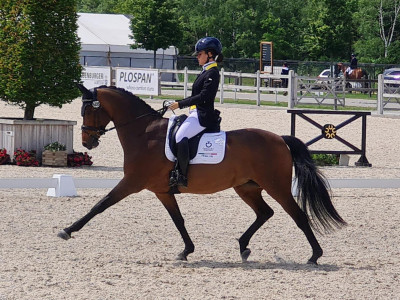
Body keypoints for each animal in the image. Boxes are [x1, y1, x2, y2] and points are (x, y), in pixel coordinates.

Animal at [57, 84, 346, 264]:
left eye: (89, 109)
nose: (87, 143)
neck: (143, 132)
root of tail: (280, 139)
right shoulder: (162, 191)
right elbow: (179, 220)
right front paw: (186, 251)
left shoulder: (131, 182)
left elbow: (100, 205)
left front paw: (68, 230)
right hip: (247, 187)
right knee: (265, 213)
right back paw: (243, 246)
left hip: (276, 186)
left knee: (298, 215)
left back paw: (315, 255)